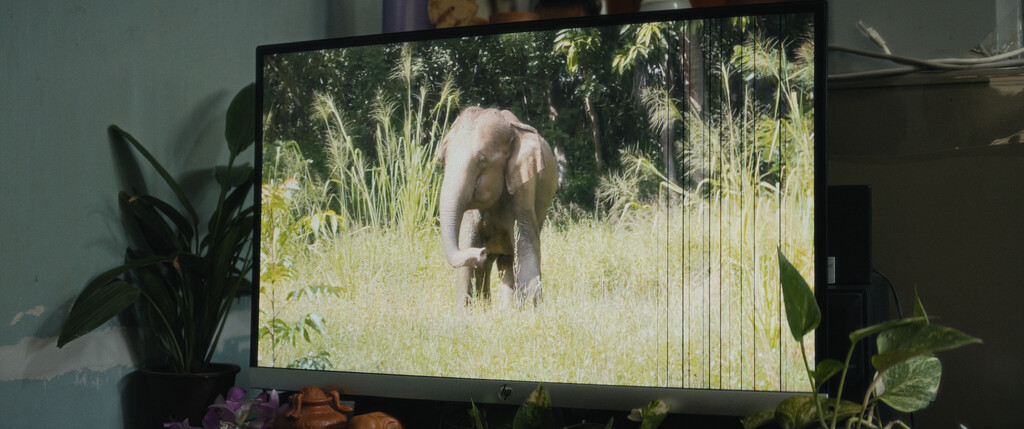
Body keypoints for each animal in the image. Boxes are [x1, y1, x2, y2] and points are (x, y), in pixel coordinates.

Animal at [438, 107, 559, 306]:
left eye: (482, 159)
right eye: (443, 157)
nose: (481, 252)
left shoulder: (523, 188)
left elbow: (526, 245)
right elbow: (467, 248)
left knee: (507, 259)